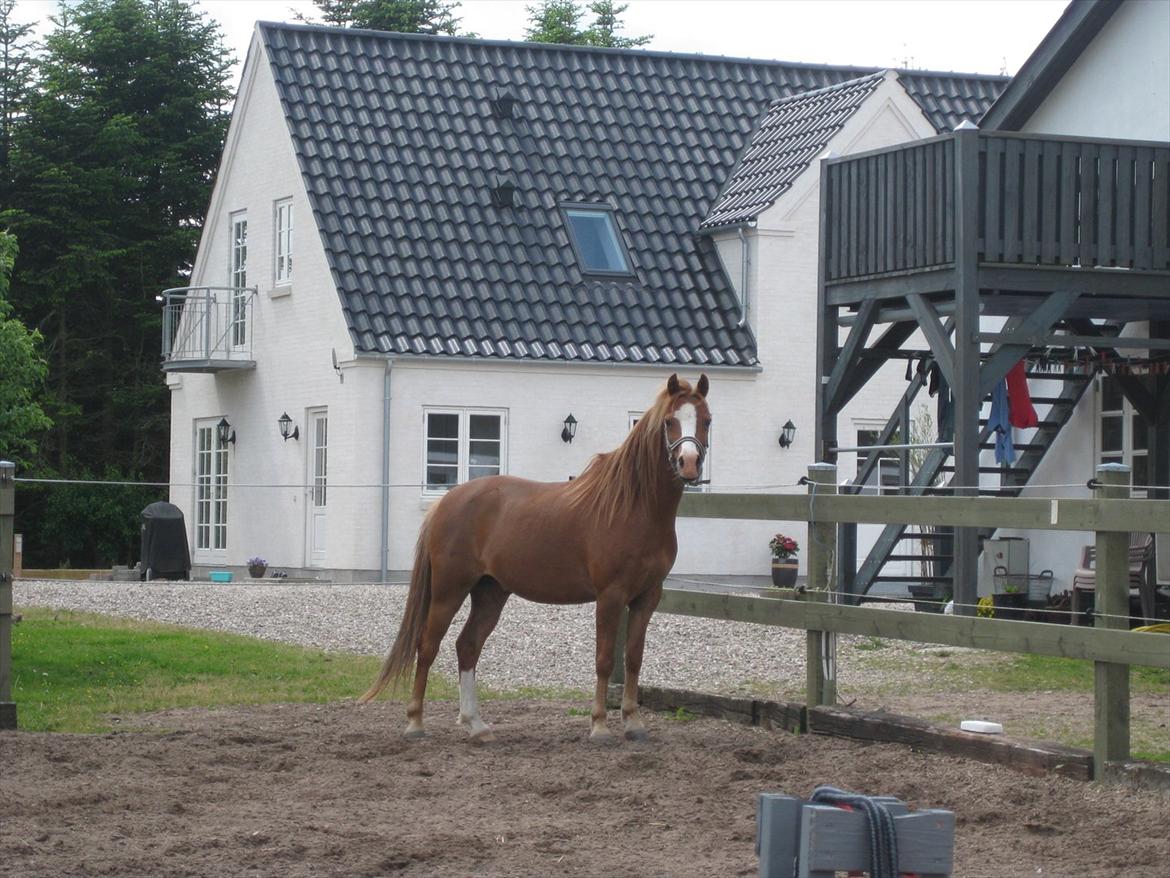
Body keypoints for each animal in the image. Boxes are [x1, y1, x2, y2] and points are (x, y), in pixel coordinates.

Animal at [360, 372, 711, 744]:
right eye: (670, 421)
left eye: (706, 420)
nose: (689, 464)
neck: (633, 507)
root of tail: (446, 501)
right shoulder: (611, 596)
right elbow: (604, 659)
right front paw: (599, 725)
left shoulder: (647, 597)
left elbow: (633, 658)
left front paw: (633, 723)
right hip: (448, 590)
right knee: (428, 645)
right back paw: (416, 722)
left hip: (490, 592)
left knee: (467, 646)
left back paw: (476, 724)